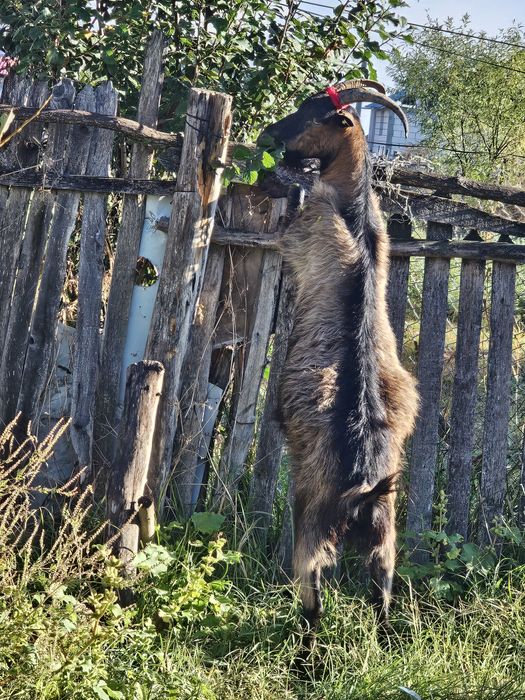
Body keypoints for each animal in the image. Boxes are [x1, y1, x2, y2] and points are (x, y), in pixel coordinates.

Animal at [259, 80, 419, 637]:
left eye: (316, 113)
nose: (267, 137)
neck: (354, 211)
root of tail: (364, 487)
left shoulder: (301, 231)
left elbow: (290, 218)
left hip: (311, 515)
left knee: (314, 596)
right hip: (385, 533)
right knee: (382, 589)